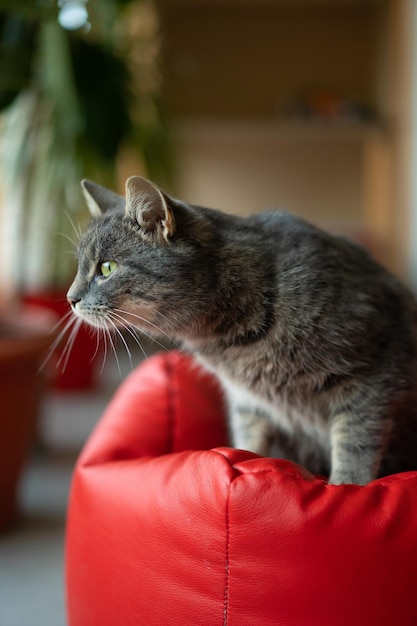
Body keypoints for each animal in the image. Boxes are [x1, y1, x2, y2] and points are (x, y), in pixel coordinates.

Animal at [67, 174, 417, 482]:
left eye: (107, 268)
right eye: (80, 267)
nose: (70, 298)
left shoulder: (371, 376)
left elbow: (355, 447)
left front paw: (345, 487)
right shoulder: (248, 403)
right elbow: (248, 445)